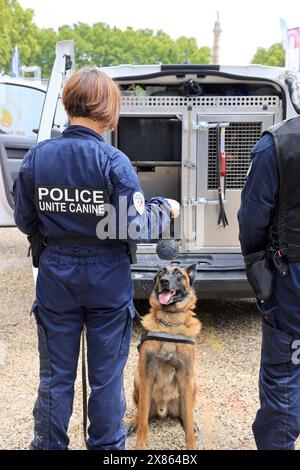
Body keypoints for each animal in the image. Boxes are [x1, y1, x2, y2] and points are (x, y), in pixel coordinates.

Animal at [129, 262, 202, 450]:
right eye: (161, 273)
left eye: (178, 274)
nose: (164, 281)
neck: (169, 326)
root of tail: (163, 409)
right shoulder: (146, 376)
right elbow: (143, 421)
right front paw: (140, 444)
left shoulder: (185, 377)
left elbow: (188, 426)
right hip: (137, 380)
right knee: (141, 412)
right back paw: (133, 421)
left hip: (192, 384)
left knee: (186, 414)